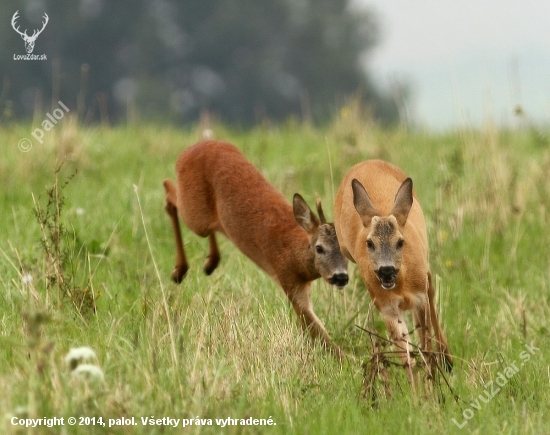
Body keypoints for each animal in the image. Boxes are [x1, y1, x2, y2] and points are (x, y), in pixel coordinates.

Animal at [162, 141, 350, 360]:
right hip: (194, 213)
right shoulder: (288, 279)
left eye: (347, 252)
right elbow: (317, 331)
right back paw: (179, 271)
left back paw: (210, 263)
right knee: (169, 192)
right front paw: (351, 361)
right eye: (319, 248)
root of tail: (187, 150)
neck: (296, 254)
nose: (340, 277)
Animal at [334, 160, 454, 372]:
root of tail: (366, 161)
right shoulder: (387, 306)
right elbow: (406, 356)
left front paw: (433, 375)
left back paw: (447, 359)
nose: (386, 270)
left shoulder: (420, 297)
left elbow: (426, 345)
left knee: (431, 288)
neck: (402, 285)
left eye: (400, 242)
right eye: (369, 243)